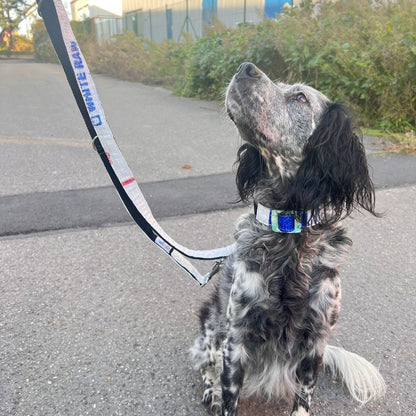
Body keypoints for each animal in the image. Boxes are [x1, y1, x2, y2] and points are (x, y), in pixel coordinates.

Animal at [190, 62, 386, 416]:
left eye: (300, 98)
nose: (245, 67)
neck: (288, 230)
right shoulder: (236, 339)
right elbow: (229, 396)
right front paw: (219, 395)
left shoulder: (315, 340)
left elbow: (303, 398)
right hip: (212, 327)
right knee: (206, 365)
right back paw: (210, 391)